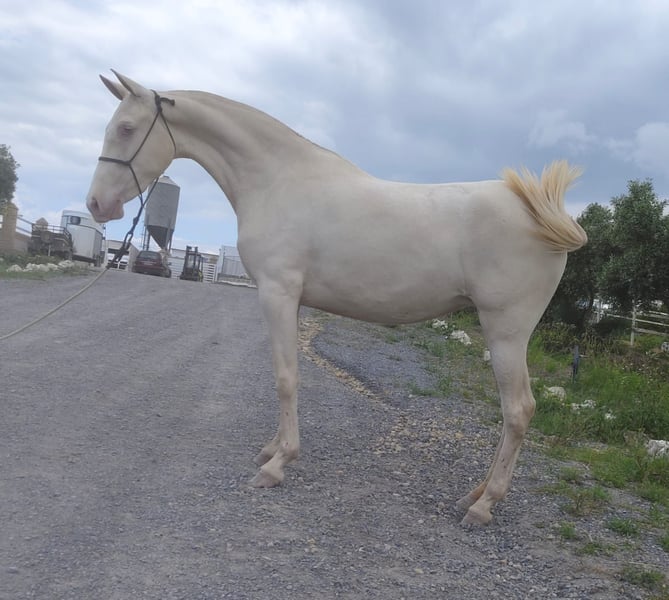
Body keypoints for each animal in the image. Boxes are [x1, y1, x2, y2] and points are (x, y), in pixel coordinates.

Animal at [86, 71, 587, 525]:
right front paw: (273, 448)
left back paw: (483, 506)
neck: (276, 180)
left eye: (126, 128)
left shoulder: (278, 293)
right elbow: (286, 374)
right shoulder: (290, 299)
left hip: (506, 330)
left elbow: (285, 378)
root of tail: (540, 211)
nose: (96, 205)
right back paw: (476, 494)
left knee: (518, 411)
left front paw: (278, 464)